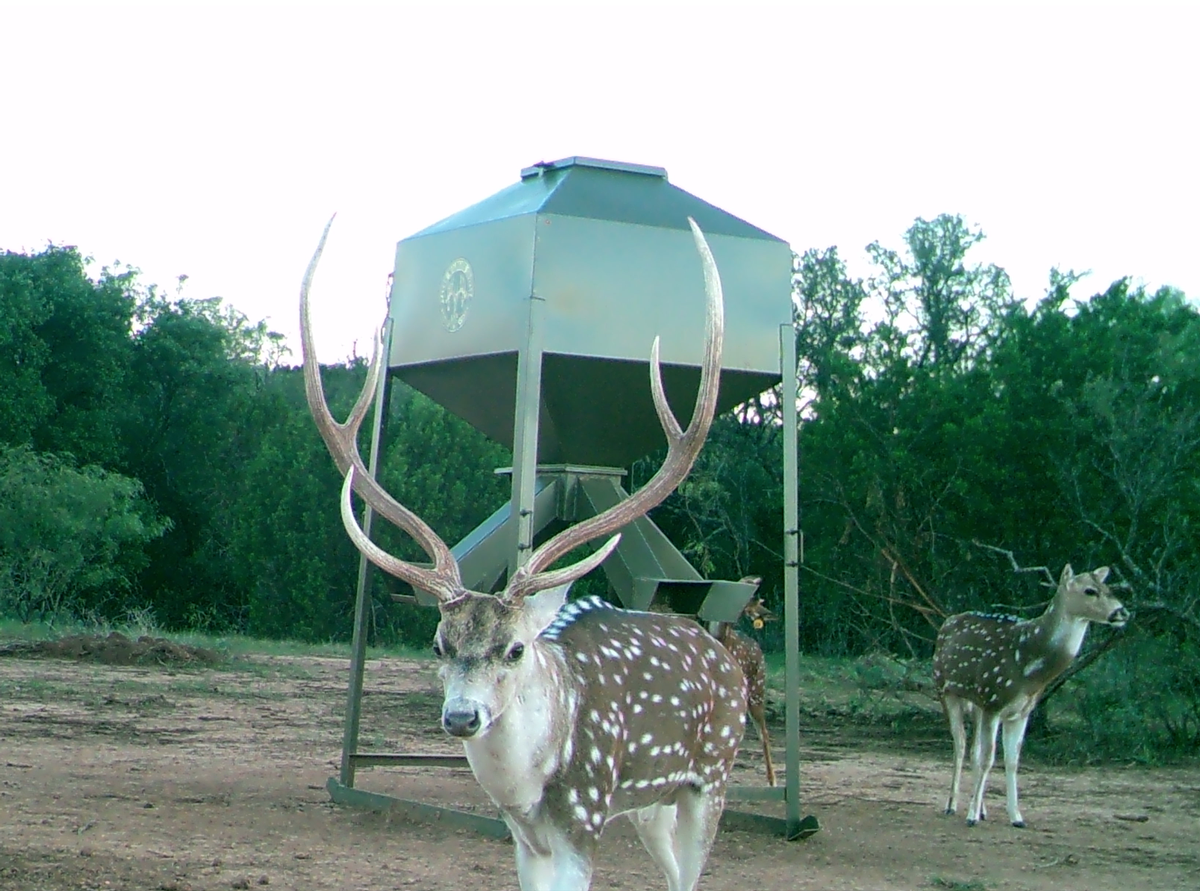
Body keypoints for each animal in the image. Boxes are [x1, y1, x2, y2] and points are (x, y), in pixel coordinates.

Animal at [304, 218, 744, 891]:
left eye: (514, 648)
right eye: (439, 644)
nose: (462, 718)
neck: (530, 786)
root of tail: (724, 655)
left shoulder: (583, 817)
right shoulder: (523, 837)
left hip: (712, 775)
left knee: (694, 871)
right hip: (651, 803)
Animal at [931, 564, 1128, 830]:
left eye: (1108, 587)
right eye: (1090, 590)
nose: (1122, 612)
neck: (1029, 668)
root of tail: (947, 622)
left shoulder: (1021, 711)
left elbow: (1012, 760)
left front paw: (1016, 817)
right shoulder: (994, 700)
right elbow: (988, 759)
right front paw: (971, 816)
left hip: (977, 703)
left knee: (972, 749)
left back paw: (981, 809)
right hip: (945, 688)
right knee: (960, 744)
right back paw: (952, 806)